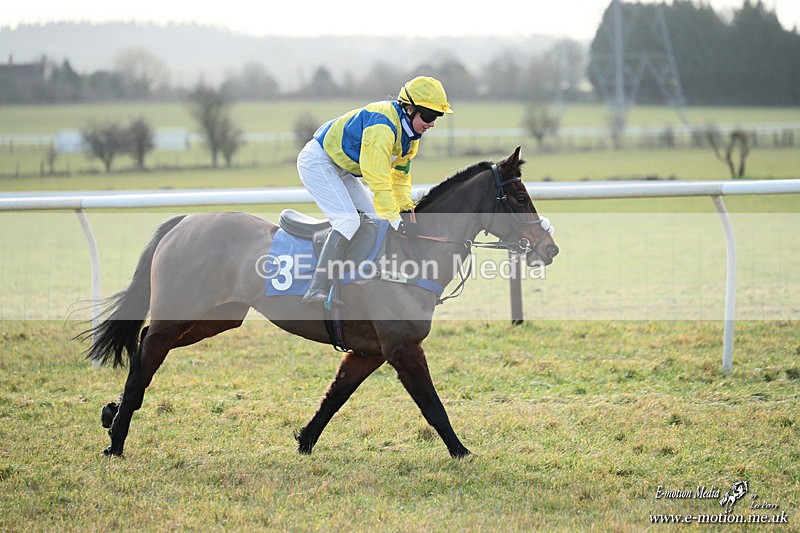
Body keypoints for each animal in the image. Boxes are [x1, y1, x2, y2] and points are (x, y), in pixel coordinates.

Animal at [83, 147, 559, 458]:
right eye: (520, 197)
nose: (549, 248)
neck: (411, 252)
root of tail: (183, 221)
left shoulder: (369, 351)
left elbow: (335, 397)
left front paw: (304, 441)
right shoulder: (402, 347)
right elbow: (433, 406)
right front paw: (462, 453)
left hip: (218, 317)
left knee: (145, 345)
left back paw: (113, 413)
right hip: (181, 313)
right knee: (146, 355)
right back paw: (117, 439)